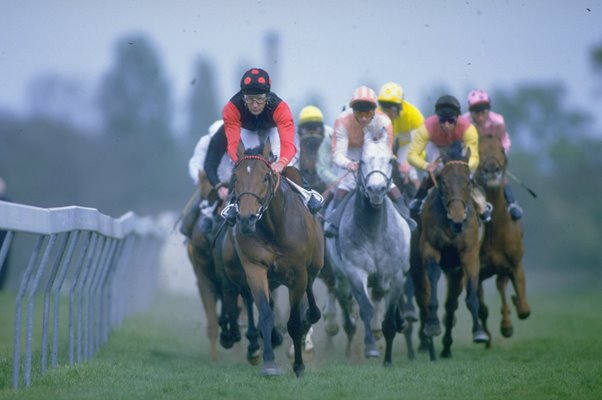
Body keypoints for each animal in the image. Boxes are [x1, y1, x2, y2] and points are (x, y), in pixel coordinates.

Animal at [220, 142, 324, 376]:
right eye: (235, 177)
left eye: (266, 177)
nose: (247, 218)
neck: (274, 228)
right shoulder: (255, 268)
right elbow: (266, 314)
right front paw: (269, 364)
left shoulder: (298, 272)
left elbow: (294, 322)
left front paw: (299, 366)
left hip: (314, 265)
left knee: (311, 290)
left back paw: (311, 316)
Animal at [324, 140, 412, 366]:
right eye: (362, 161)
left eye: (390, 160)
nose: (376, 189)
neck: (374, 231)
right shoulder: (355, 271)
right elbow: (365, 307)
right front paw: (371, 347)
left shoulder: (396, 275)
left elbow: (389, 315)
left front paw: (388, 357)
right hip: (341, 276)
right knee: (344, 299)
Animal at [408, 141, 488, 360]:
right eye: (443, 181)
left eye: (469, 181)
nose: (457, 218)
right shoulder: (430, 249)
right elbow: (433, 281)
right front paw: (432, 326)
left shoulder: (469, 256)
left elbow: (470, 295)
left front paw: (479, 332)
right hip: (416, 265)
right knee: (422, 297)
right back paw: (428, 343)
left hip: (454, 272)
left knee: (451, 305)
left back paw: (445, 348)